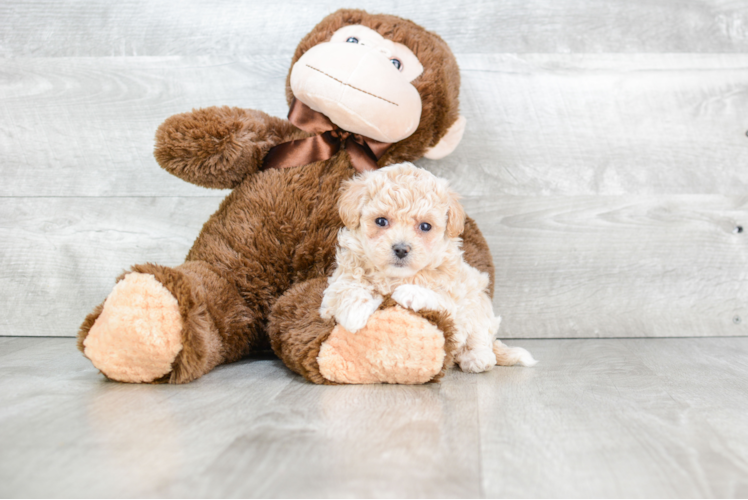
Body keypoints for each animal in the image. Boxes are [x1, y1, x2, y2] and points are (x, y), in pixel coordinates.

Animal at [318, 162, 536, 374]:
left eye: (425, 226)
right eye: (381, 221)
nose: (401, 248)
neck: (396, 277)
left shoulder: (455, 298)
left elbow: (438, 296)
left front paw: (410, 292)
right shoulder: (341, 277)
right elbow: (347, 288)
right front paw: (354, 313)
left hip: (479, 304)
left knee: (480, 338)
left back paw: (477, 358)